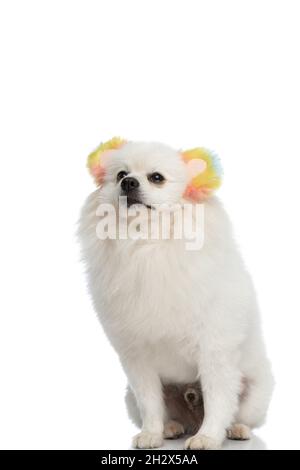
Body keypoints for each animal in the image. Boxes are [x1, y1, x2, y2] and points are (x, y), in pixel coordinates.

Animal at [79, 138, 274, 450]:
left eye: (156, 178)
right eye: (121, 175)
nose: (129, 183)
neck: (146, 243)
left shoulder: (214, 350)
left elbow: (219, 401)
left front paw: (208, 437)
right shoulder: (137, 358)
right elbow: (150, 402)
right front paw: (151, 433)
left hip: (257, 391)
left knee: (240, 412)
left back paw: (236, 430)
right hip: (132, 395)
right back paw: (171, 427)